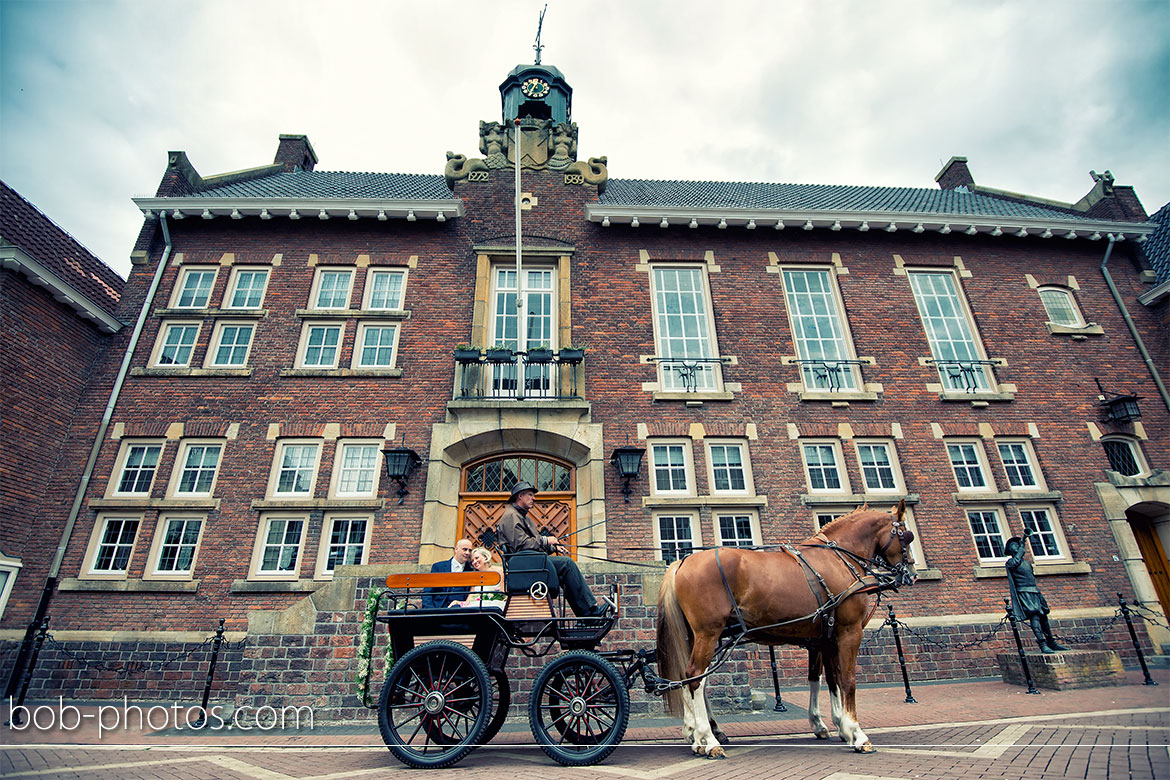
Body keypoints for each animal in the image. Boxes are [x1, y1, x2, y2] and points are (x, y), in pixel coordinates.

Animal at [659, 502, 912, 757]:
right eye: (906, 536)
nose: (910, 573)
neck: (837, 558)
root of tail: (681, 563)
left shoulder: (824, 638)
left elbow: (825, 679)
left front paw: (833, 725)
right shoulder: (848, 631)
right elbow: (847, 679)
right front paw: (857, 734)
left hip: (695, 636)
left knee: (688, 677)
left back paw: (697, 737)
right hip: (708, 633)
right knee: (695, 678)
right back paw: (709, 740)